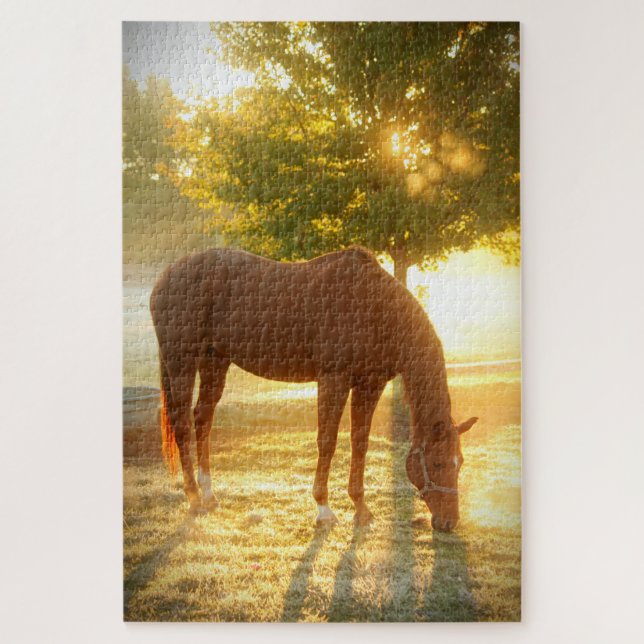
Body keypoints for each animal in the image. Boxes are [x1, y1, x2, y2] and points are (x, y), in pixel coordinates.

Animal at [150, 246, 477, 531]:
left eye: (459, 463)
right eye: (437, 463)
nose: (448, 522)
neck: (374, 306)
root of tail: (165, 277)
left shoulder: (370, 385)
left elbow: (360, 442)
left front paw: (361, 508)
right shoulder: (334, 379)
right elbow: (328, 441)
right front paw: (324, 510)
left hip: (215, 361)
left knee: (203, 418)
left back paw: (208, 494)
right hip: (181, 360)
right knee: (182, 423)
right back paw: (194, 498)